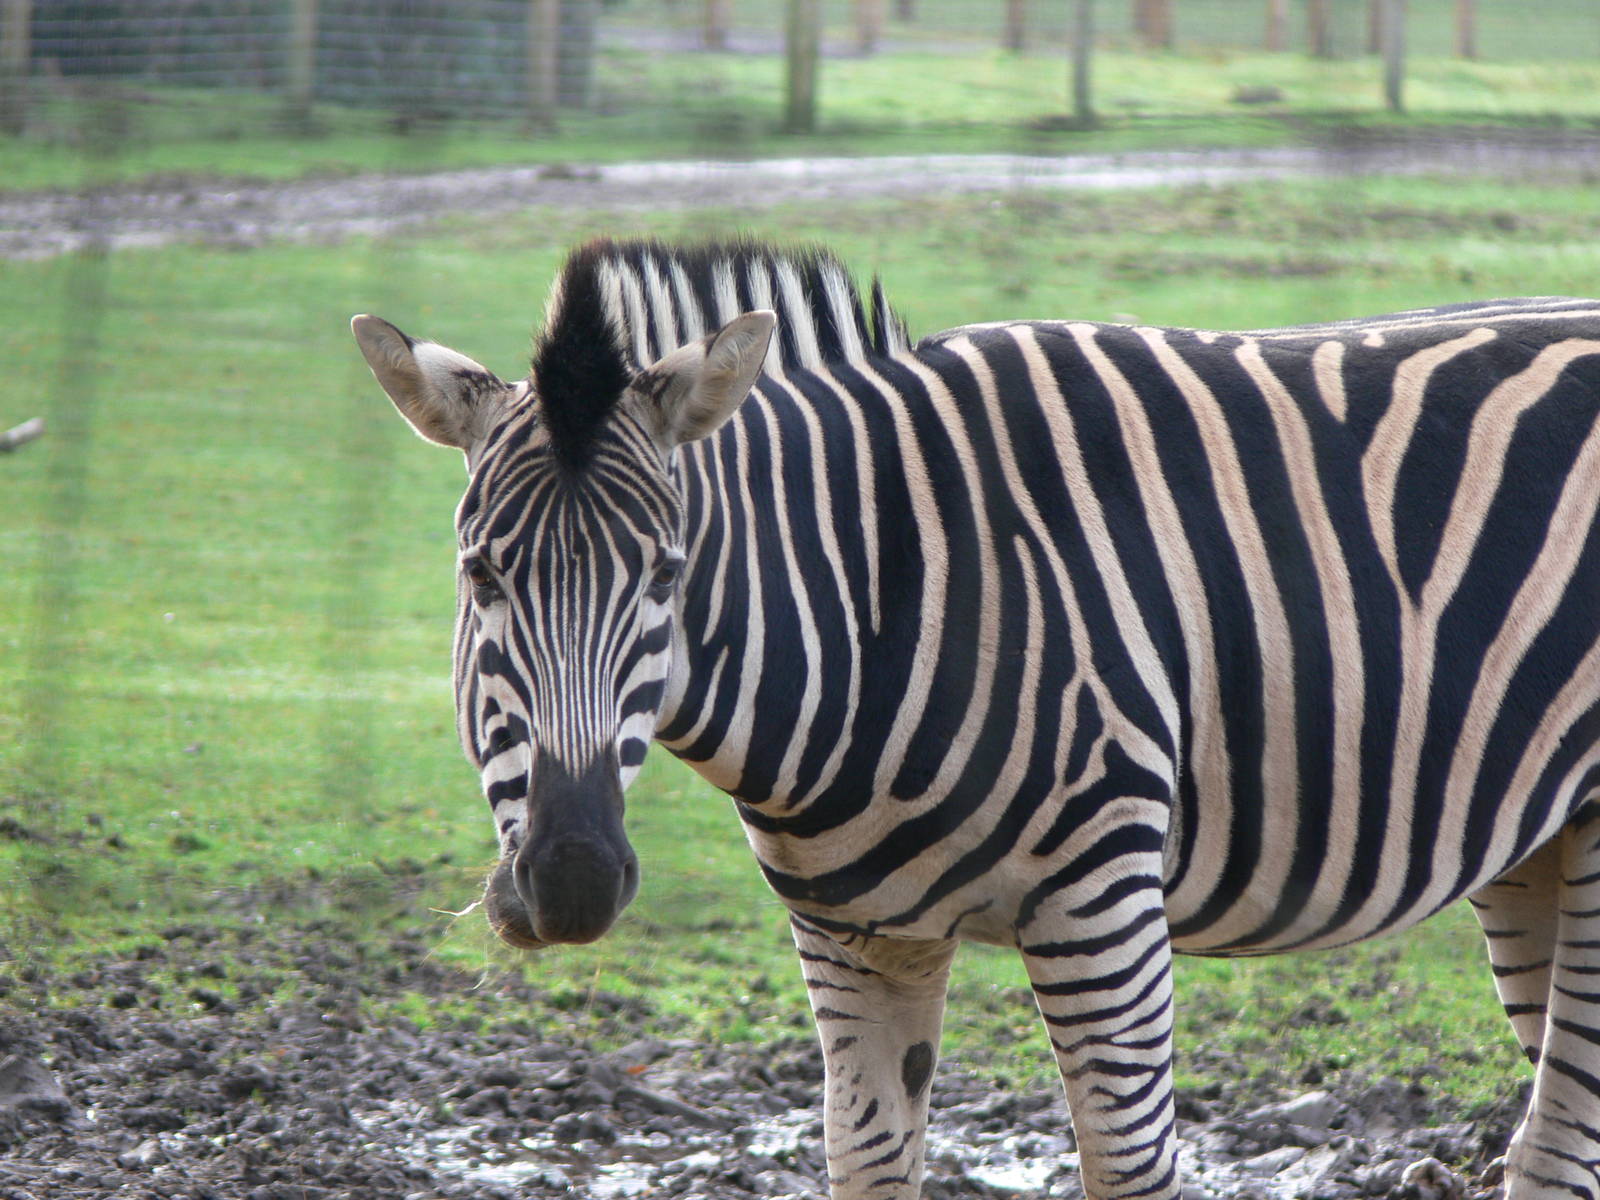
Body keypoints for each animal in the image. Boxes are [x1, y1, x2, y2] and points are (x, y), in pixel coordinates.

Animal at [352, 237, 1600, 1200]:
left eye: (666, 574)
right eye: (479, 576)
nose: (569, 880)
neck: (880, 601)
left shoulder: (1101, 902)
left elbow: (1128, 1169)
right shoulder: (856, 936)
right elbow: (866, 1163)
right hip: (1534, 845)